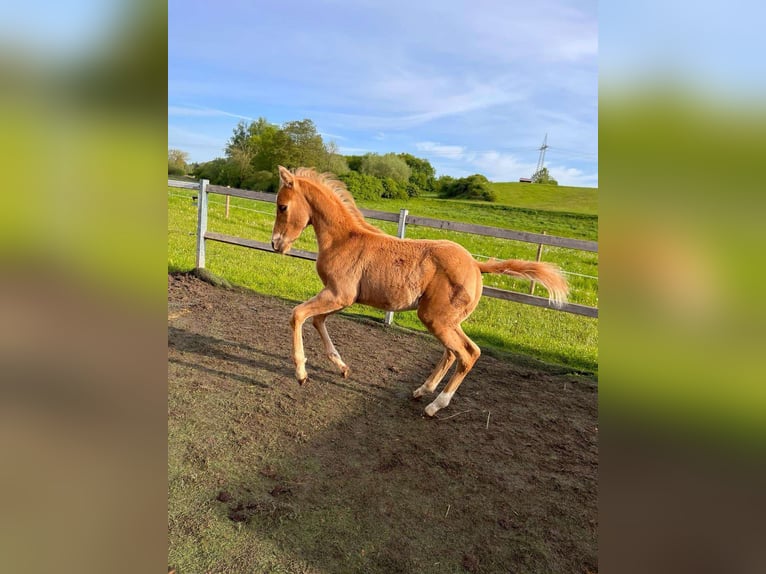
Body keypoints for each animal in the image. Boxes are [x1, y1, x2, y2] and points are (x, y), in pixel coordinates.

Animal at [272, 166, 568, 418]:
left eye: (282, 206)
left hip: (436, 318)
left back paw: (435, 405)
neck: (344, 240)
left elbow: (297, 315)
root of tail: (476, 265)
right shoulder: (340, 298)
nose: (275, 244)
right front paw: (342, 367)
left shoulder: (338, 295)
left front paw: (301, 373)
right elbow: (317, 321)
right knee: (457, 352)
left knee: (467, 354)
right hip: (447, 320)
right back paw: (422, 390)